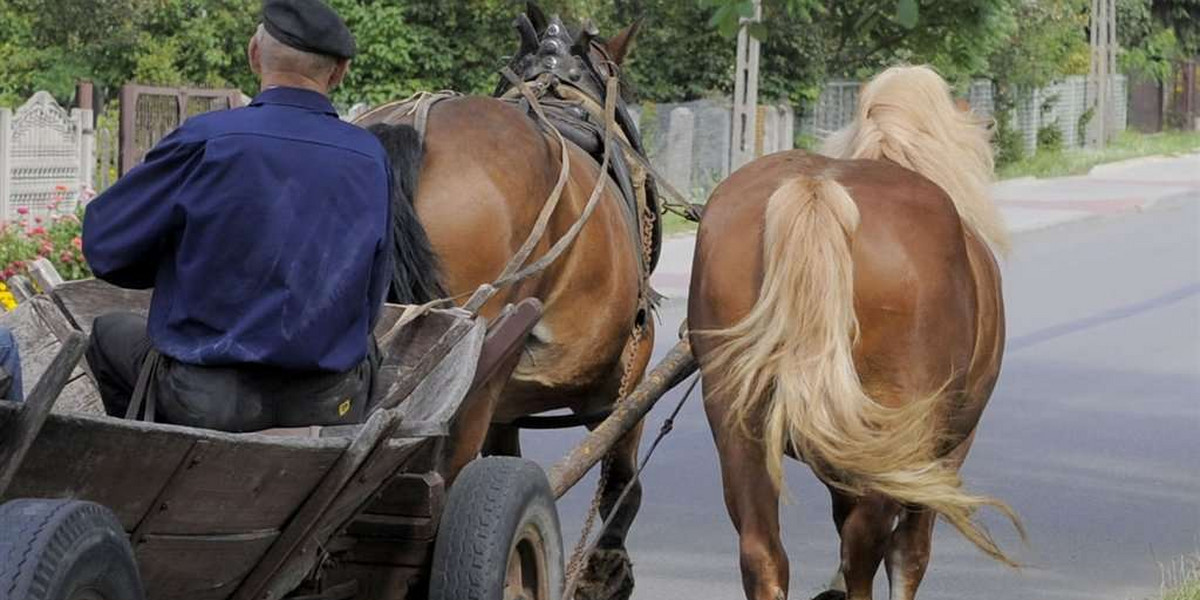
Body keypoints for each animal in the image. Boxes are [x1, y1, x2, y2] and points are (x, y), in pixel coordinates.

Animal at [686, 66, 1022, 600]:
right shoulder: (946, 453)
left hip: (740, 426)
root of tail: (817, 189)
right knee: (867, 547)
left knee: (763, 552)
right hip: (898, 439)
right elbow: (910, 554)